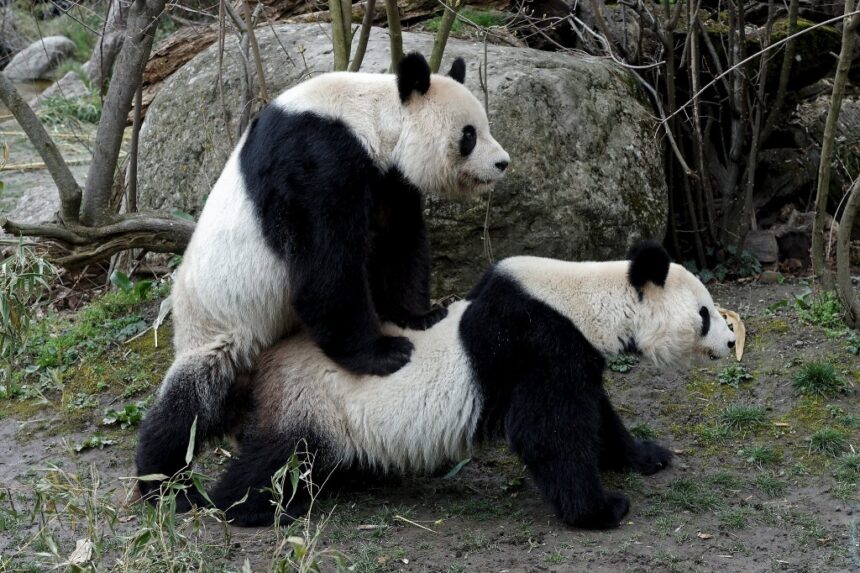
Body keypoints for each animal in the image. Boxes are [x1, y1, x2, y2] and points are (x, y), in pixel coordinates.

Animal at [135, 53, 511, 494]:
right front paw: (384, 354)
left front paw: (421, 315)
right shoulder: (315, 161)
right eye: (469, 135)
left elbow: (398, 241)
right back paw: (163, 481)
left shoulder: (388, 180)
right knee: (190, 405)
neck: (369, 115)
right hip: (220, 329)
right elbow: (327, 267)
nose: (502, 163)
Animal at [175, 241, 737, 529]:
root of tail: (266, 361)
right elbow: (547, 431)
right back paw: (244, 507)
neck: (585, 301)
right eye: (705, 314)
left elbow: (598, 413)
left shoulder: (569, 351)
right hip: (311, 401)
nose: (732, 341)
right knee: (278, 455)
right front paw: (600, 510)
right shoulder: (535, 341)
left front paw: (647, 456)